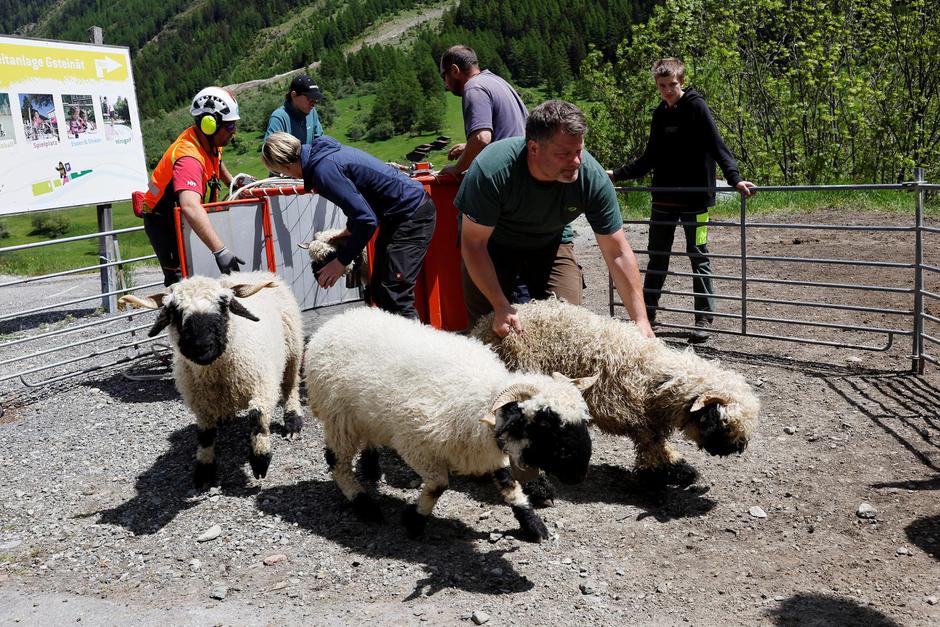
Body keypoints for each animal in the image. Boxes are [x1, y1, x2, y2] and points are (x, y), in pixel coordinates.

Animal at [118, 271, 304, 489]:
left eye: (223, 305)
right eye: (176, 311)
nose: (202, 347)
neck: (217, 373)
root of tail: (256, 273)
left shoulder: (263, 385)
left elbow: (257, 418)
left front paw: (260, 459)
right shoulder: (200, 404)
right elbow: (205, 436)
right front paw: (204, 470)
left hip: (293, 349)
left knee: (290, 386)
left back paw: (293, 423)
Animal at [304, 307, 597, 542]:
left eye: (583, 421)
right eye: (545, 424)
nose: (580, 474)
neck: (480, 398)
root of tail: (337, 321)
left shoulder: (490, 445)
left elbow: (509, 484)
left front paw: (532, 523)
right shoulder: (414, 444)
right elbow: (438, 485)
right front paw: (414, 520)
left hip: (365, 415)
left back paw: (371, 468)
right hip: (339, 418)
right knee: (337, 462)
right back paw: (364, 504)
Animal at [472, 299, 759, 489]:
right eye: (723, 424)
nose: (737, 448)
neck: (653, 380)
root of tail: (482, 325)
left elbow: (656, 442)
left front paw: (677, 468)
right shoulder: (630, 413)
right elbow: (651, 442)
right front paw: (663, 471)